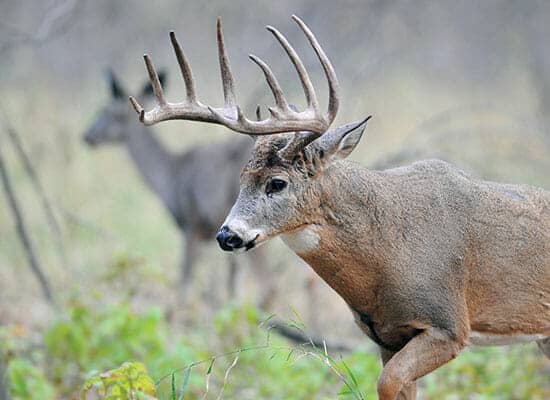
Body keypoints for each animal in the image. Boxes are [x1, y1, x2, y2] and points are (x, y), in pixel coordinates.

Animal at [83, 69, 280, 306]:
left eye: (109, 112)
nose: (87, 136)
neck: (171, 174)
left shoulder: (191, 225)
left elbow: (184, 286)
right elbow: (228, 289)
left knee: (269, 285)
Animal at [130, 14, 550, 396]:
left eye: (277, 183)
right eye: (240, 179)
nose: (226, 235)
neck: (388, 251)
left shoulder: (448, 324)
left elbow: (387, 382)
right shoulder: (386, 336)